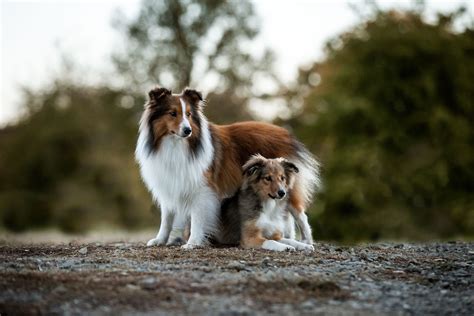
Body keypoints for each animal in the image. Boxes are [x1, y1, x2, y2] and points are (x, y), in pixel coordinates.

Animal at [135, 87, 320, 249]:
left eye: (188, 114)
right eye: (173, 113)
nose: (188, 130)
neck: (176, 145)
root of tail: (286, 134)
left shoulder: (202, 190)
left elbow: (197, 218)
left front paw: (193, 242)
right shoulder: (169, 185)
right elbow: (166, 219)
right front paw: (160, 240)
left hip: (286, 187)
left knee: (301, 215)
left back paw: (306, 241)